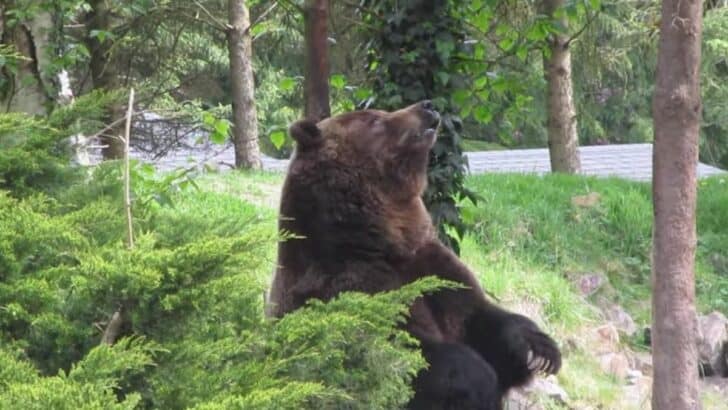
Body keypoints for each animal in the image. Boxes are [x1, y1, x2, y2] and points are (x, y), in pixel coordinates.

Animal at [267, 101, 561, 409]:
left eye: (380, 111)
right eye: (375, 119)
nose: (427, 106)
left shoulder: (431, 265)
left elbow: (478, 316)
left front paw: (538, 349)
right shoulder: (347, 284)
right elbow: (403, 355)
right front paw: (479, 377)